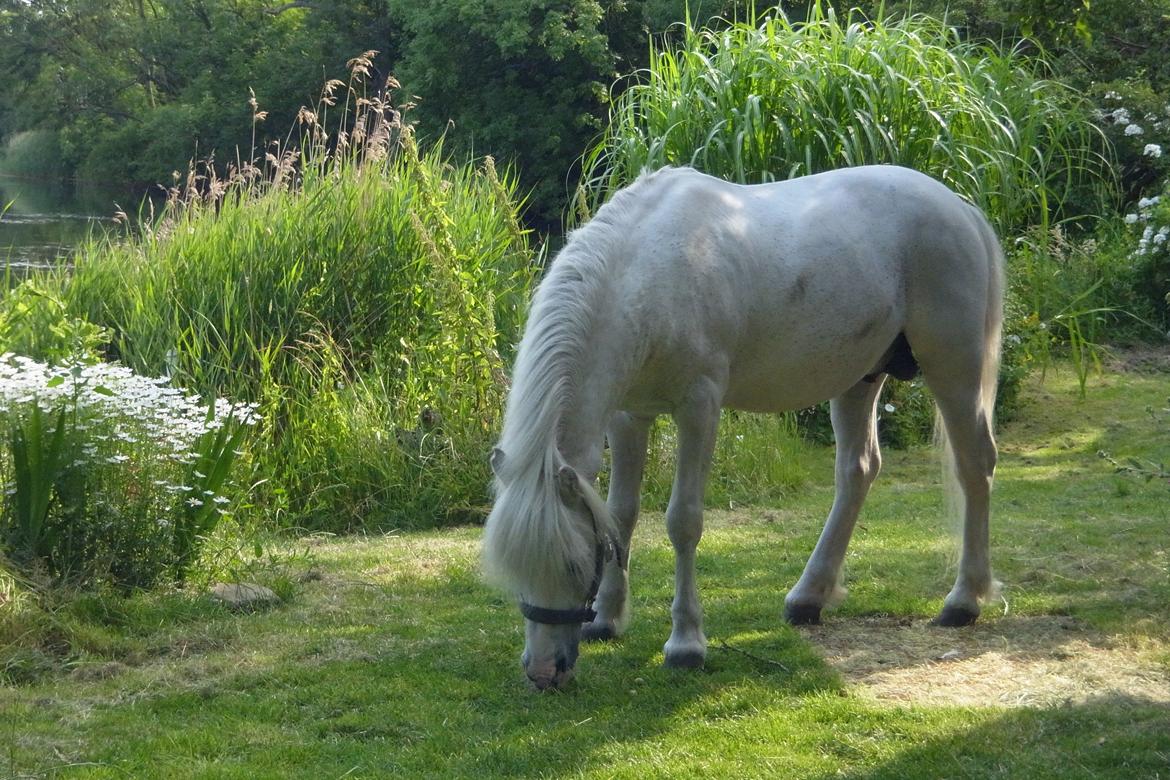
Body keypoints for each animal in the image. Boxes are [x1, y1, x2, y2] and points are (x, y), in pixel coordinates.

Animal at [479, 164, 1001, 687]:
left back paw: (963, 601)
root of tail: (959, 207)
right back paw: (808, 598)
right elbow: (620, 514)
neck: (650, 275)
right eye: (514, 570)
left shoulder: (699, 407)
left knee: (975, 464)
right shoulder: (629, 415)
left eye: (573, 565)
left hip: (953, 365)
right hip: (860, 376)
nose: (543, 671)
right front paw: (607, 620)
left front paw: (686, 643)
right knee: (858, 471)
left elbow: (683, 521)